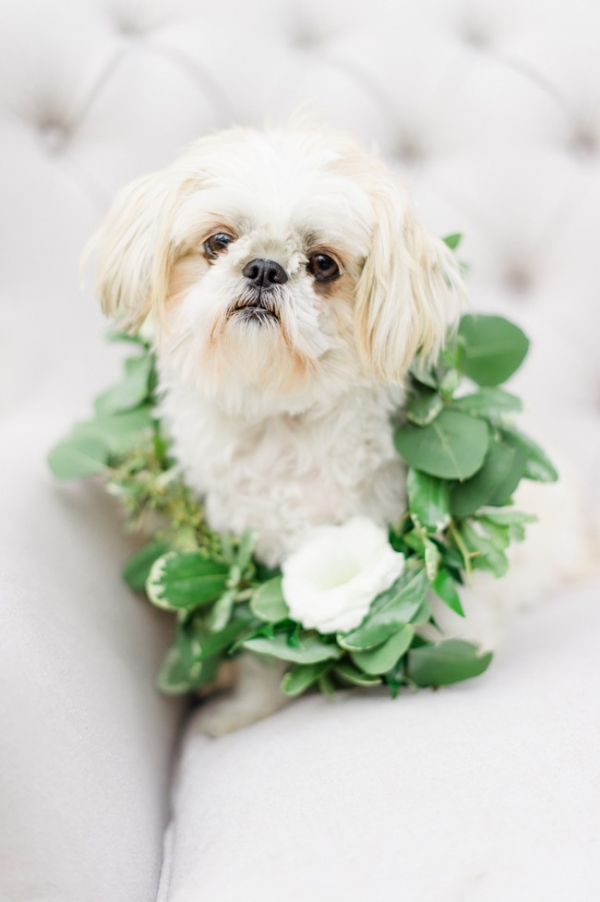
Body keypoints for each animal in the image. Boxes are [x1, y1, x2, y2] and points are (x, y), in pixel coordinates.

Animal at [90, 120, 596, 740]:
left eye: (323, 264)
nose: (264, 268)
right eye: (218, 242)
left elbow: (447, 610)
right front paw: (241, 714)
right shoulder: (256, 568)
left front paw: (452, 660)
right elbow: (262, 654)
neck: (278, 418)